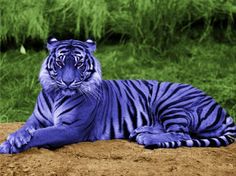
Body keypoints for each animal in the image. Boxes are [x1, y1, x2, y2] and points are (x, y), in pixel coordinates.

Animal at [0, 37, 235, 153]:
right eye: (60, 62)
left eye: (78, 64)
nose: (68, 82)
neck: (56, 94)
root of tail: (221, 108)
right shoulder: (36, 118)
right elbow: (27, 127)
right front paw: (16, 137)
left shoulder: (71, 128)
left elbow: (41, 135)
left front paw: (9, 145)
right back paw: (141, 130)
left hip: (170, 100)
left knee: (182, 134)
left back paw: (145, 137)